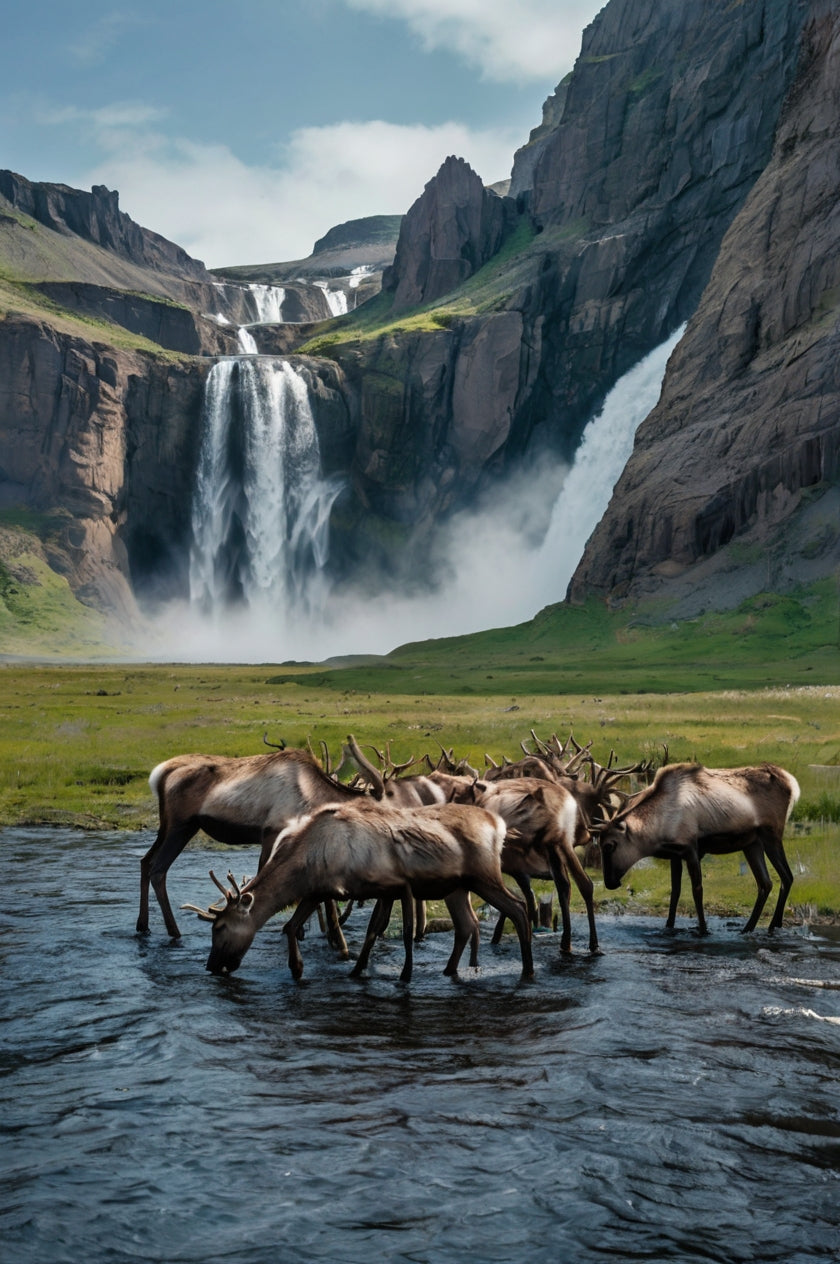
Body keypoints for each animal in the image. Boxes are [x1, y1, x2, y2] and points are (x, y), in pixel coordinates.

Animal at [183, 798, 534, 983]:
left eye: (220, 927)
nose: (211, 965)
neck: (311, 861)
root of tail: (498, 824)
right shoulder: (321, 891)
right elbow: (293, 926)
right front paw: (302, 968)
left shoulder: (395, 884)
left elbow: (403, 932)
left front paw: (404, 975)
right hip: (459, 887)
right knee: (466, 924)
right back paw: (450, 970)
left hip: (484, 876)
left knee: (518, 907)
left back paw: (528, 971)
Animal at [591, 762, 801, 934]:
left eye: (609, 845)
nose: (610, 882)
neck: (659, 827)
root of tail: (792, 783)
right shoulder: (675, 855)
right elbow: (675, 891)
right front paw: (669, 925)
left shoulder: (691, 849)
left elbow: (697, 890)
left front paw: (703, 929)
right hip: (751, 843)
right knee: (766, 883)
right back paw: (748, 928)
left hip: (771, 835)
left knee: (787, 876)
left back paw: (773, 925)